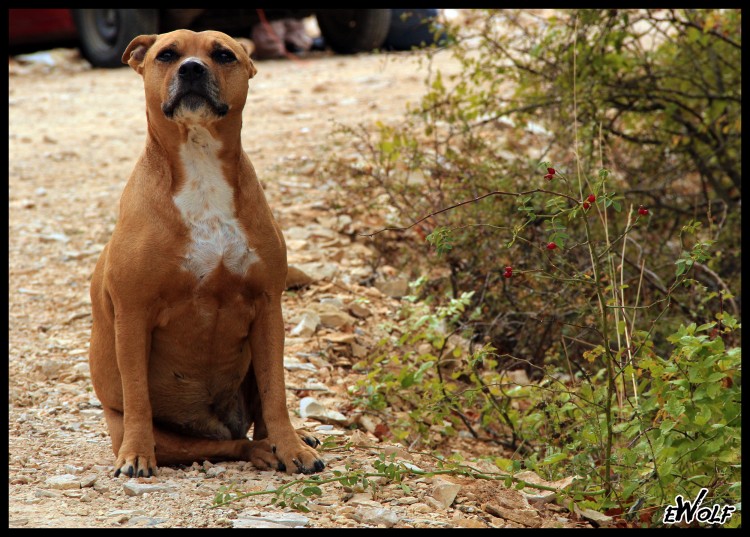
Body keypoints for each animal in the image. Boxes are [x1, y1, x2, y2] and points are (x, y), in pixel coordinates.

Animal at [88, 30, 324, 478]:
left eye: (223, 55)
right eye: (167, 55)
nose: (192, 69)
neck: (200, 169)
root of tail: (216, 422)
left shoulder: (268, 307)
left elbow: (276, 393)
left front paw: (292, 447)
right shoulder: (133, 313)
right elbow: (138, 394)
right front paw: (136, 455)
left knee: (254, 422)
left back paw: (285, 442)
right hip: (153, 429)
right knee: (229, 444)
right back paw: (259, 450)